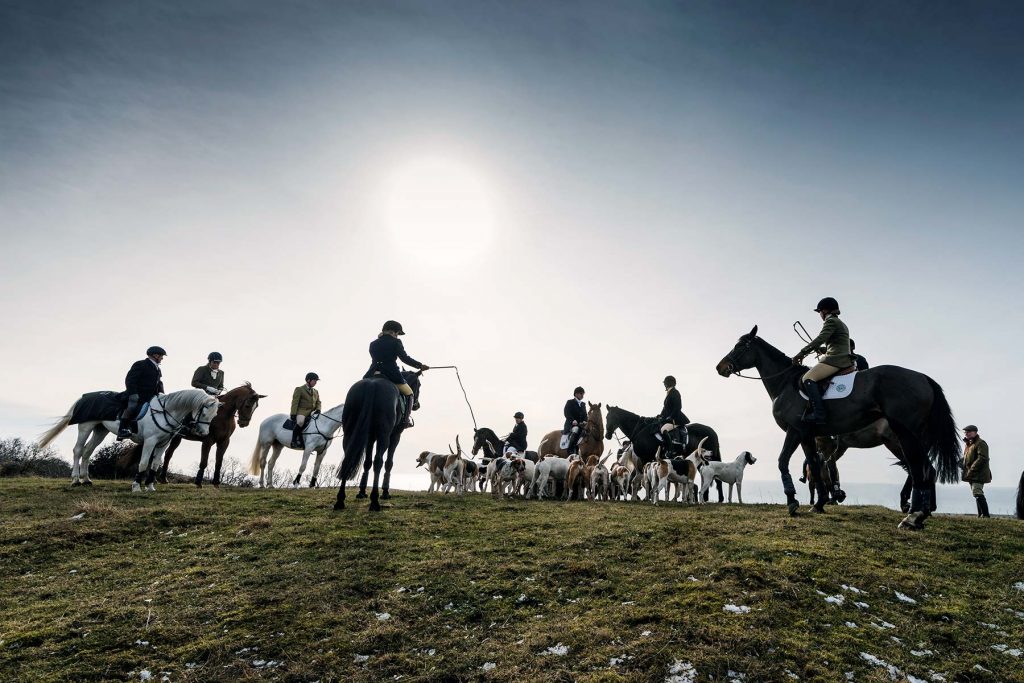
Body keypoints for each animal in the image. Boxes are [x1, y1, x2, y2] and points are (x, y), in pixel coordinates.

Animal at [38, 389, 221, 491]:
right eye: (204, 413)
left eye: (215, 416)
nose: (203, 433)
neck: (166, 412)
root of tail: (84, 397)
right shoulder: (150, 442)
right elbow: (143, 462)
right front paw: (136, 486)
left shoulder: (163, 444)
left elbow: (155, 464)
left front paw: (150, 486)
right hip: (85, 427)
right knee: (78, 450)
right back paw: (76, 479)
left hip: (100, 430)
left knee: (88, 450)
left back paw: (87, 479)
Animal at [331, 368, 419, 511]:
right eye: (419, 385)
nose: (417, 405)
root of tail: (371, 386)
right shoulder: (395, 436)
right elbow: (388, 463)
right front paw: (385, 492)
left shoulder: (370, 437)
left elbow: (367, 462)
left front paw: (361, 492)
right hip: (384, 436)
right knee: (378, 462)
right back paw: (375, 501)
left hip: (350, 432)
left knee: (348, 460)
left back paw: (340, 500)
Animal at [712, 325, 958, 528]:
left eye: (740, 346)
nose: (720, 367)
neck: (785, 383)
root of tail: (923, 378)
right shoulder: (809, 435)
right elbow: (815, 466)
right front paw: (819, 504)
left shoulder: (796, 430)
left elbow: (784, 461)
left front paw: (792, 500)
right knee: (926, 469)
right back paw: (922, 513)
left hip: (903, 435)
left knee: (918, 468)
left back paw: (913, 516)